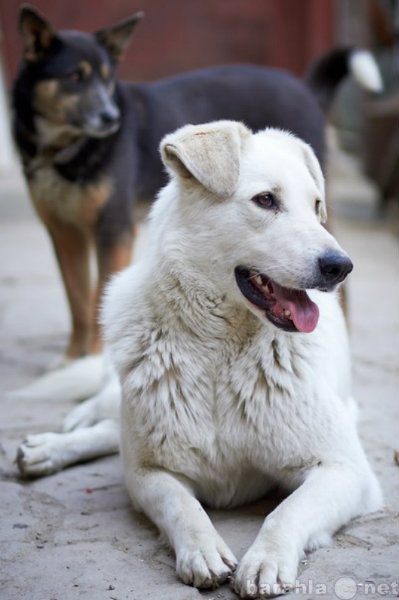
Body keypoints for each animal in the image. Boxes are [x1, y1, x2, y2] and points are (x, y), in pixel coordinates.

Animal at [11, 7, 382, 376]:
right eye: (74, 76)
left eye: (107, 79)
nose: (110, 117)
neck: (63, 149)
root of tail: (303, 87)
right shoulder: (63, 232)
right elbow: (77, 299)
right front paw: (74, 357)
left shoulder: (113, 230)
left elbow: (96, 295)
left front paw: (93, 360)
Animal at [17, 120, 382, 596]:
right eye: (266, 200)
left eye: (316, 205)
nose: (341, 266)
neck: (222, 352)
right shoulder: (149, 472)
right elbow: (182, 506)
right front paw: (202, 551)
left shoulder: (345, 469)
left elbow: (286, 511)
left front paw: (265, 560)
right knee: (107, 423)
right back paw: (52, 443)